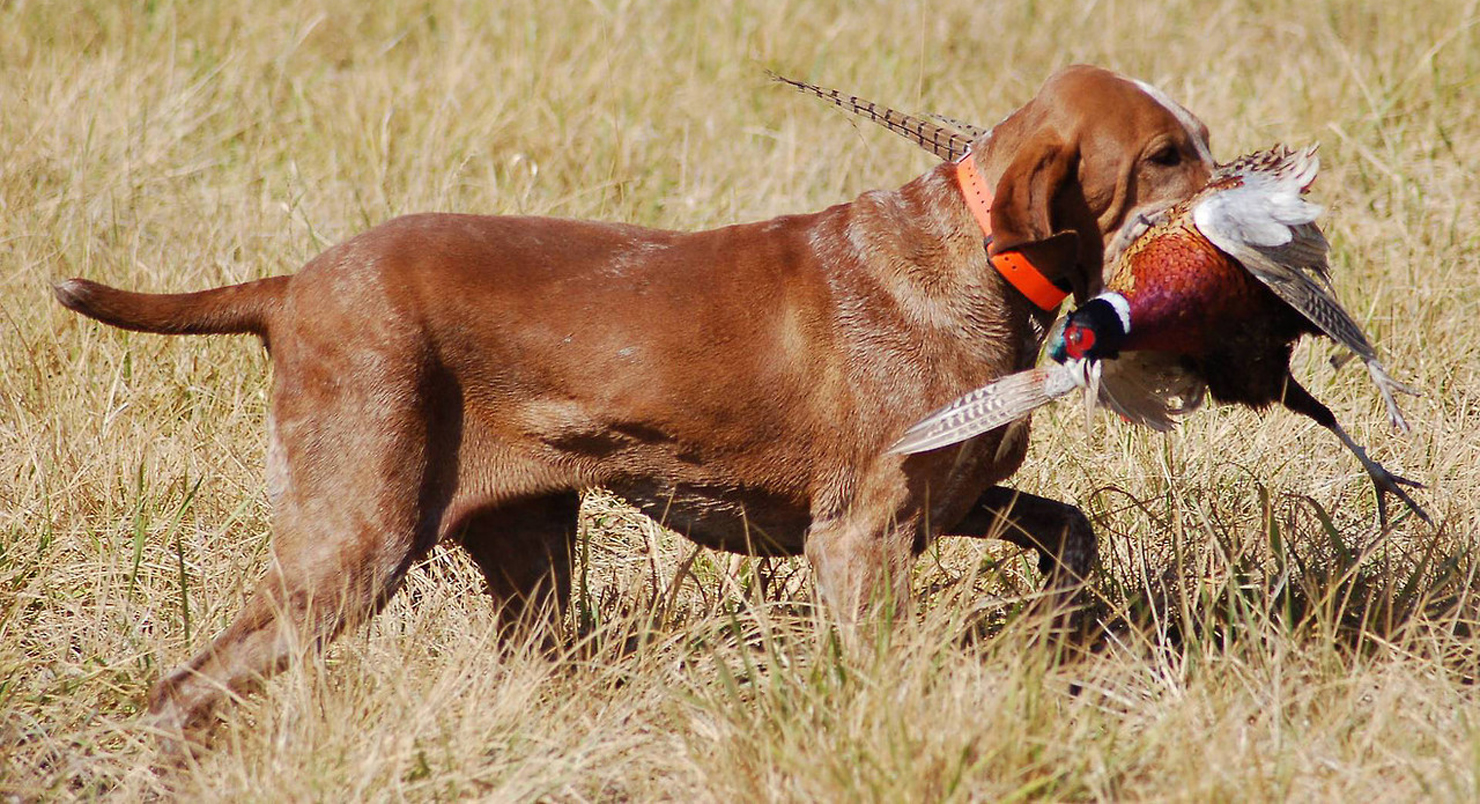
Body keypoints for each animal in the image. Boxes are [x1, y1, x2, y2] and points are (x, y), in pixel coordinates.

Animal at [57, 65, 1213, 740]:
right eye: (1165, 155)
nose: (1243, 195)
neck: (974, 251)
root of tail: (292, 285)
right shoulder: (858, 539)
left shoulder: (952, 499)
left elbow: (1070, 530)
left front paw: (1062, 627)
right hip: (353, 546)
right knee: (183, 690)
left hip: (529, 559)